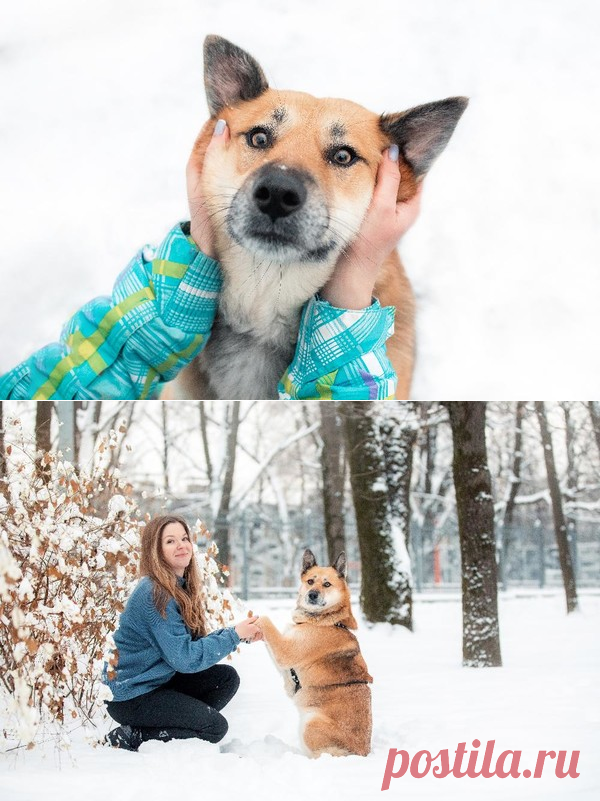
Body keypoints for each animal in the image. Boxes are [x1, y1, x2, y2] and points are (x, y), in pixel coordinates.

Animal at [258, 552, 372, 756]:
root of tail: (361, 754)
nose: (312, 594)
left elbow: (265, 620)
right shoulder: (285, 664)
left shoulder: (285, 652)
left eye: (327, 584)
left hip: (310, 723)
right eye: (310, 581)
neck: (327, 621)